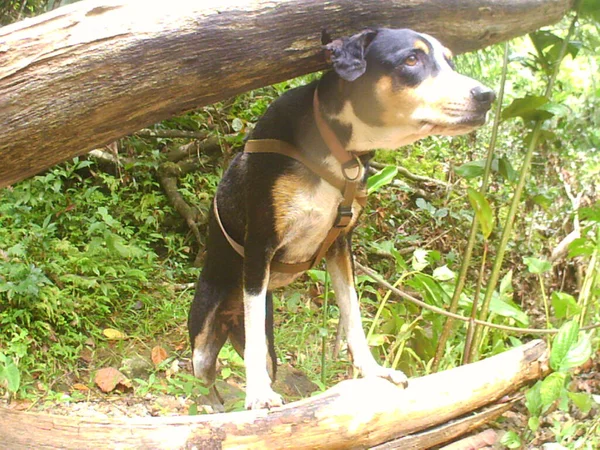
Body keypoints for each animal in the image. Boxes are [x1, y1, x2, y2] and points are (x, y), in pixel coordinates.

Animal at [186, 26, 492, 410]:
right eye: (411, 59)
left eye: (450, 61)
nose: (488, 96)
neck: (335, 149)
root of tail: (228, 317)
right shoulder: (259, 245)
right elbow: (255, 333)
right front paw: (258, 394)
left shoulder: (340, 246)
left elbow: (353, 314)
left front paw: (375, 372)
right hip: (203, 334)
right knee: (206, 377)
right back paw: (212, 406)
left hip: (270, 349)